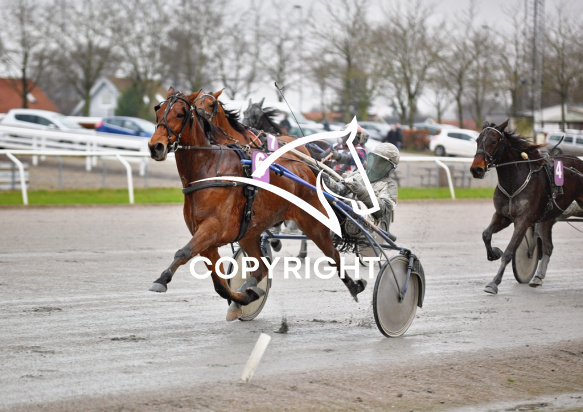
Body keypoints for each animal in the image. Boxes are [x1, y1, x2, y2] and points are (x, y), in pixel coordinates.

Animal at [148, 87, 367, 320]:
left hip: (312, 222)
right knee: (261, 267)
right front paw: (244, 298)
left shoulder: (212, 229)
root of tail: (306, 166)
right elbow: (220, 284)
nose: (156, 146)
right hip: (249, 234)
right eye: (158, 111)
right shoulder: (206, 238)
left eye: (181, 114)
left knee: (332, 254)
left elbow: (184, 252)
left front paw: (161, 280)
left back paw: (354, 285)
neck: (207, 169)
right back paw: (250, 289)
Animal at [470, 120, 583, 294]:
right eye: (477, 140)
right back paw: (537, 277)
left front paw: (494, 283)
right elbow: (486, 234)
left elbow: (509, 252)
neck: (513, 181)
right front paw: (494, 253)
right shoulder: (502, 215)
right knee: (548, 246)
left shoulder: (523, 220)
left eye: (493, 141)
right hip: (548, 217)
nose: (476, 169)